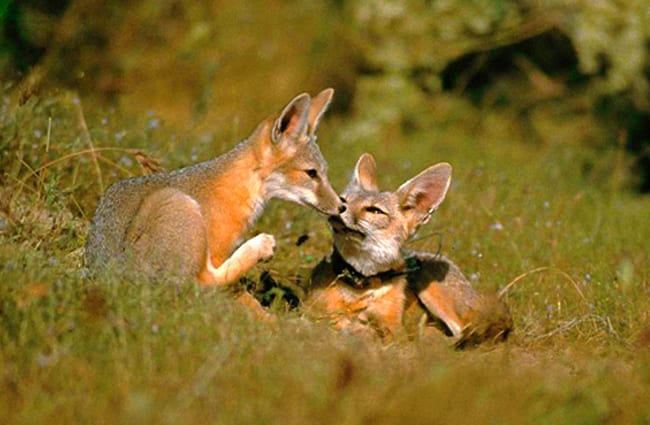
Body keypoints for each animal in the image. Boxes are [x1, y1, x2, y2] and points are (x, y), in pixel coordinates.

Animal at [86, 88, 344, 294]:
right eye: (312, 173)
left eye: (324, 172)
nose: (342, 206)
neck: (236, 186)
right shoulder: (218, 251)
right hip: (178, 204)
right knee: (206, 285)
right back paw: (259, 246)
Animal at [304, 152, 512, 344]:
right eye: (343, 199)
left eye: (375, 210)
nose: (338, 209)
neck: (360, 286)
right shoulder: (309, 314)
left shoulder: (395, 330)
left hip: (430, 285)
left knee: (460, 333)